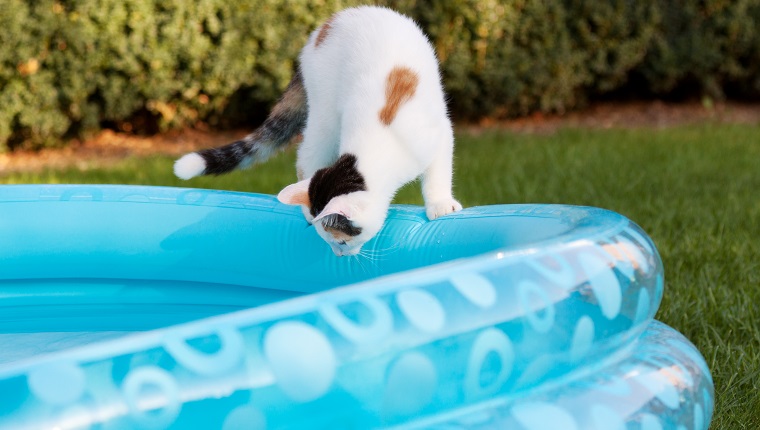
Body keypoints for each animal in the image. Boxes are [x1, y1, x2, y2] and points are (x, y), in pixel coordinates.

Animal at [175, 6, 460, 256]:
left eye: (342, 241)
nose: (339, 255)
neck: (377, 148)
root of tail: (329, 23)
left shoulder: (438, 133)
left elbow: (438, 171)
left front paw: (440, 204)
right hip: (325, 113)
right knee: (307, 158)